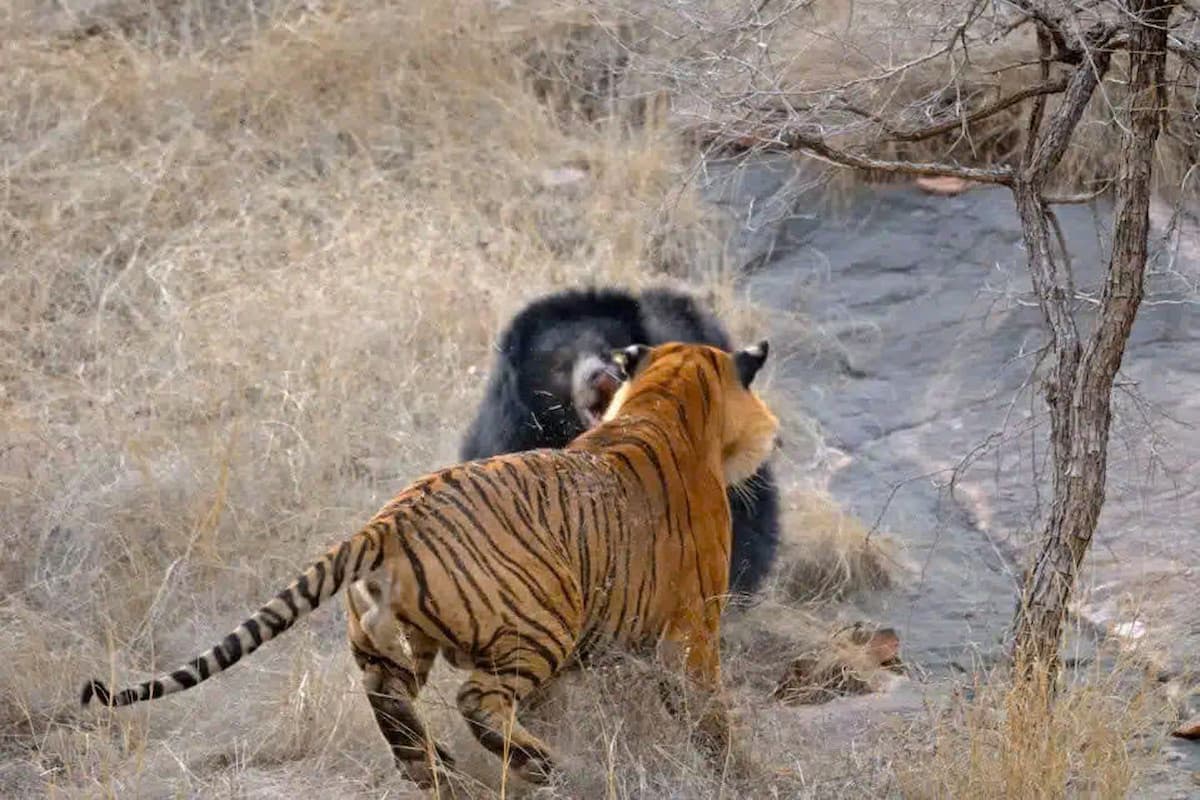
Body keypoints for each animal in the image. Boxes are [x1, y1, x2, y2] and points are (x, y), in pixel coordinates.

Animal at [82, 340, 777, 786]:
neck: (662, 401)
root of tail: (389, 520)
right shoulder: (693, 630)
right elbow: (708, 711)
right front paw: (739, 771)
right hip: (540, 623)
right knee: (478, 700)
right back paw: (536, 765)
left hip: (390, 642)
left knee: (390, 700)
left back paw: (437, 771)